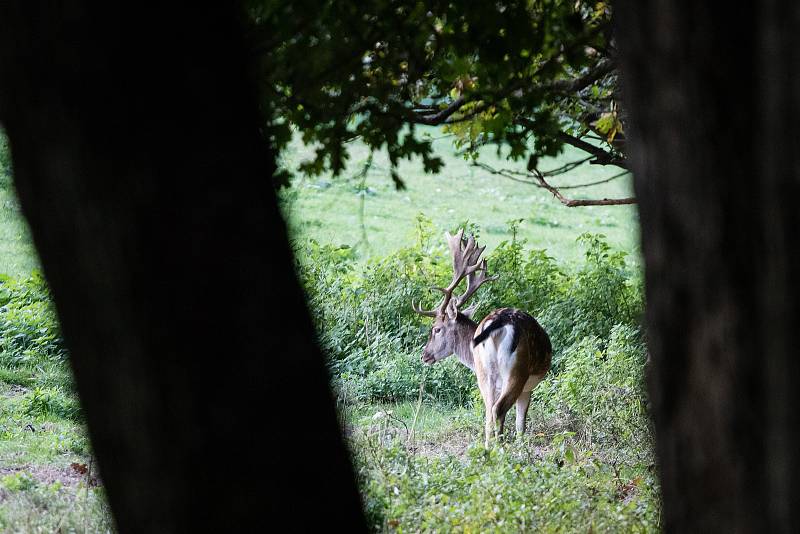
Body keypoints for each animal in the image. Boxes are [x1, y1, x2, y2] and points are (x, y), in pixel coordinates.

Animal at [412, 230, 552, 448]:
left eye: (436, 329)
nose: (424, 355)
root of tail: (496, 324)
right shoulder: (526, 389)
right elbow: (521, 426)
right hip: (515, 372)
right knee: (497, 410)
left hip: (485, 373)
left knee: (489, 413)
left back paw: (489, 450)